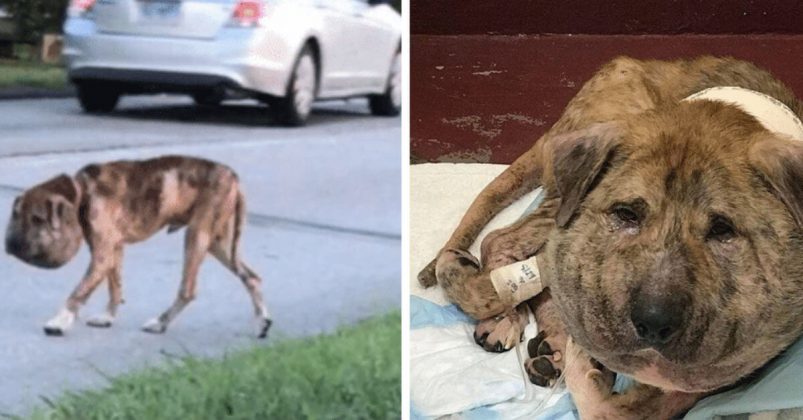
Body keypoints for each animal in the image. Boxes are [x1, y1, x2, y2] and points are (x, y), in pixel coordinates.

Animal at [3, 157, 274, 338]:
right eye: (16, 215)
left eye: (38, 219)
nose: (10, 245)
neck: (83, 192)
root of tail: (233, 177)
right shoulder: (113, 251)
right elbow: (115, 287)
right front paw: (108, 317)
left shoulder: (102, 255)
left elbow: (79, 291)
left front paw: (60, 320)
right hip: (219, 245)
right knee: (251, 277)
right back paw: (262, 321)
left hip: (197, 237)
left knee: (187, 290)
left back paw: (160, 323)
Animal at [418, 56, 803, 420]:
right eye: (626, 214)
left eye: (723, 229)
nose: (653, 324)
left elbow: (632, 406)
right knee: (500, 241)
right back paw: (505, 315)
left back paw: (551, 347)